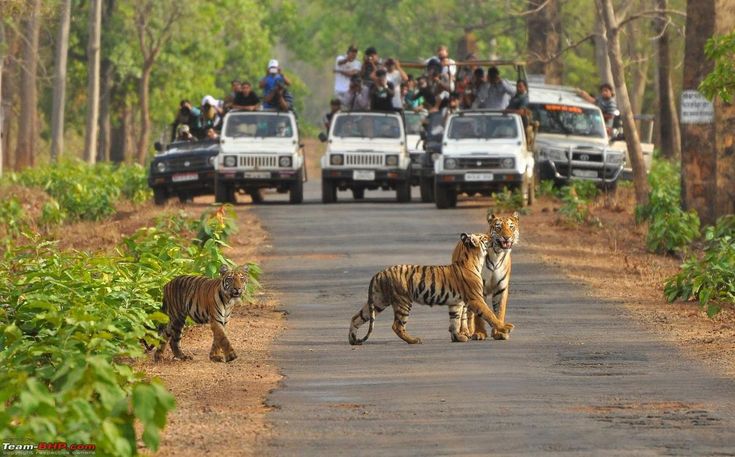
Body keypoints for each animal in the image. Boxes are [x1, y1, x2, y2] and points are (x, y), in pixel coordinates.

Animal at [348, 233, 514, 345]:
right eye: (484, 237)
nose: (494, 237)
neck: (474, 259)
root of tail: (379, 273)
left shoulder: (456, 303)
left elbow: (455, 321)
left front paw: (458, 337)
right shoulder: (475, 299)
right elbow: (489, 314)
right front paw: (505, 327)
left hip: (378, 301)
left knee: (356, 317)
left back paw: (353, 339)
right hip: (403, 301)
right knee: (397, 325)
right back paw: (414, 340)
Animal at [456, 211, 519, 341]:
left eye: (511, 227)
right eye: (498, 227)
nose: (507, 237)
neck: (497, 254)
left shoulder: (501, 288)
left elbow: (499, 311)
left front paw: (500, 333)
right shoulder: (479, 288)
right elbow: (480, 315)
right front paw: (479, 333)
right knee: (465, 312)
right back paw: (465, 332)